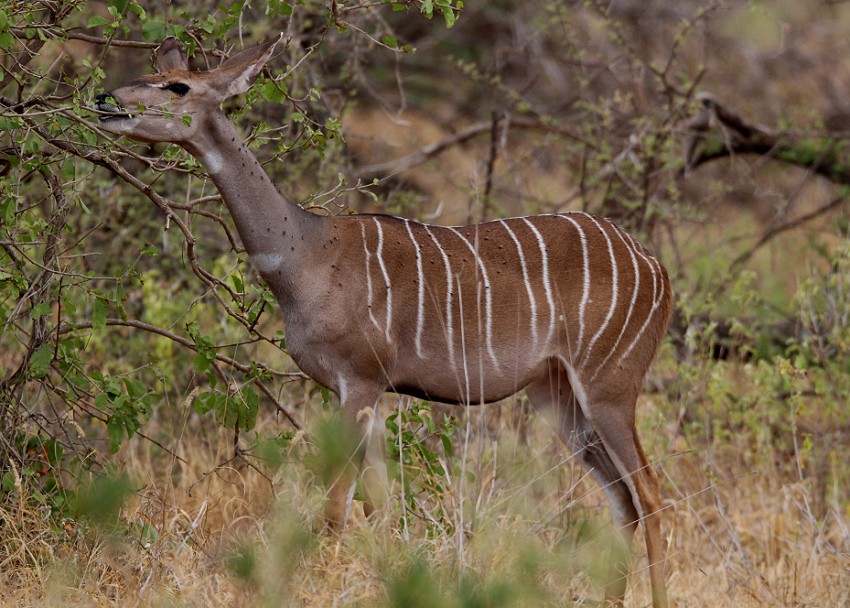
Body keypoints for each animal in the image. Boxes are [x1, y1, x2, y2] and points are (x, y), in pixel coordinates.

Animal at [96, 35, 672, 604]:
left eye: (177, 85)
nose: (106, 100)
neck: (306, 254)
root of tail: (657, 269)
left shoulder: (361, 380)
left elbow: (335, 509)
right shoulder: (362, 392)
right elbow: (379, 507)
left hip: (609, 386)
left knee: (650, 492)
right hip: (555, 394)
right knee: (622, 498)